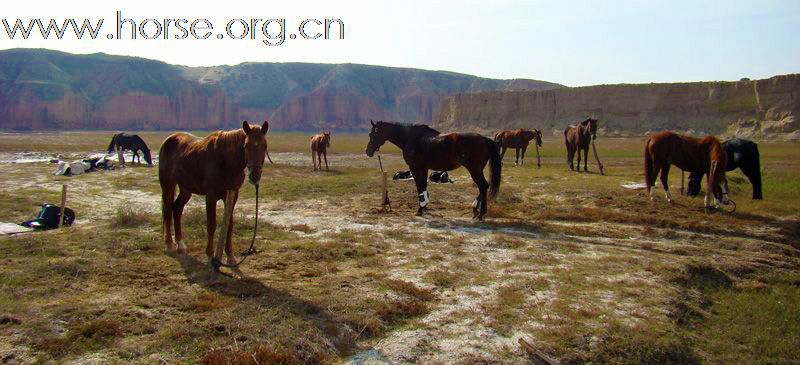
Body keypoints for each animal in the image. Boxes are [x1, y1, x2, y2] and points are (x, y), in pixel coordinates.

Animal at [159, 121, 272, 264]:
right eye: (246, 145)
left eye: (264, 146)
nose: (255, 176)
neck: (226, 162)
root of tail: (169, 139)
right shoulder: (211, 195)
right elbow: (211, 225)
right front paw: (210, 255)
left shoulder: (233, 195)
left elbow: (229, 224)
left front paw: (230, 256)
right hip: (168, 185)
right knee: (168, 211)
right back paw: (169, 245)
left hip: (185, 188)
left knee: (177, 209)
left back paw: (181, 245)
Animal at [368, 120, 504, 219]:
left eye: (373, 134)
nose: (368, 151)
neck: (409, 137)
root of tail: (485, 139)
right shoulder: (424, 168)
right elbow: (423, 187)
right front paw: (424, 207)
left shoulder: (415, 167)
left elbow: (419, 187)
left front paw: (420, 209)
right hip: (477, 170)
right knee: (484, 186)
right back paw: (475, 209)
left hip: (474, 170)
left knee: (483, 186)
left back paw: (480, 213)